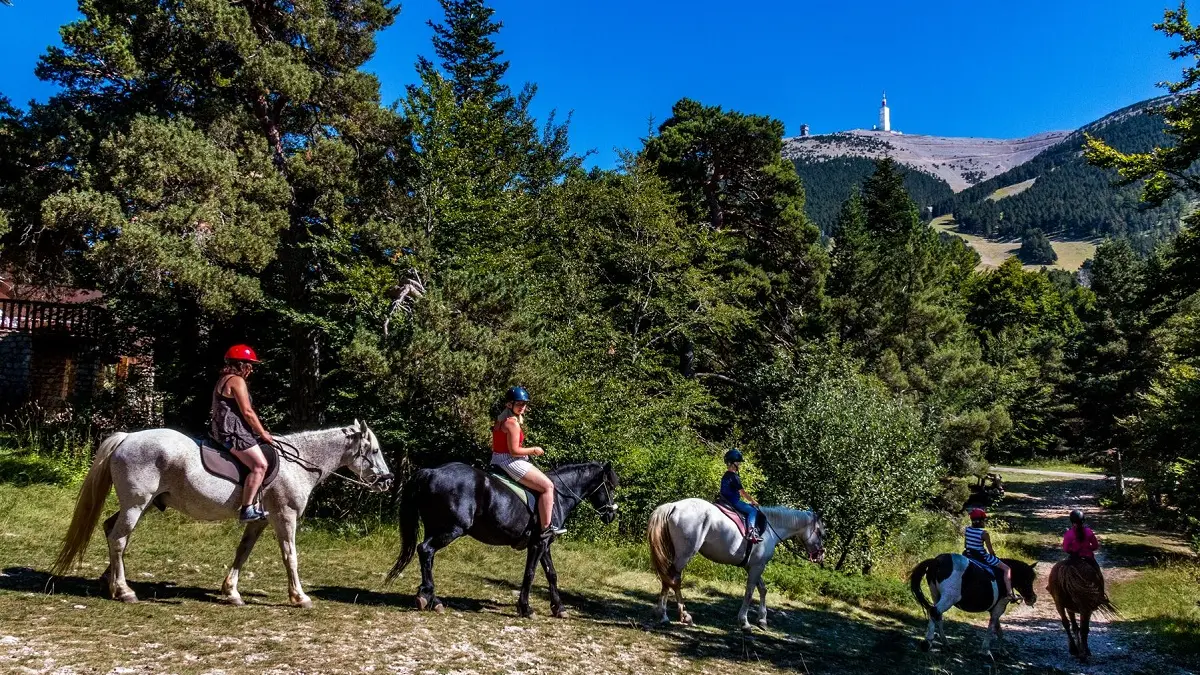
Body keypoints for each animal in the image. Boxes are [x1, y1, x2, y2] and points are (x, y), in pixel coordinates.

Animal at [54, 420, 391, 605]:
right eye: (374, 451)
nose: (388, 480)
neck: (300, 463)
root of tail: (128, 437)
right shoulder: (285, 516)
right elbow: (290, 556)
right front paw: (299, 597)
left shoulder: (260, 521)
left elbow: (242, 552)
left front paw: (231, 591)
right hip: (137, 504)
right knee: (119, 539)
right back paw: (123, 590)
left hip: (142, 506)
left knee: (112, 531)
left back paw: (109, 581)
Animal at [388, 461, 624, 614]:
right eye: (610, 486)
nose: (611, 515)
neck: (557, 495)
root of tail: (430, 472)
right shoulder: (538, 544)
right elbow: (530, 574)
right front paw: (526, 608)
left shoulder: (544, 544)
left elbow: (552, 575)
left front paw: (558, 607)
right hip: (451, 529)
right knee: (425, 550)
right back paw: (429, 598)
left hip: (435, 528)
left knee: (427, 556)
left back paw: (430, 598)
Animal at [648, 494, 825, 629]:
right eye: (820, 533)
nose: (820, 555)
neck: (770, 529)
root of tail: (674, 506)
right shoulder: (757, 566)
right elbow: (749, 592)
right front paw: (744, 621)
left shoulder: (752, 566)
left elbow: (762, 589)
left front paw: (762, 620)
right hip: (685, 554)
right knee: (673, 580)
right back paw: (673, 615)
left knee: (668, 579)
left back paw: (668, 614)